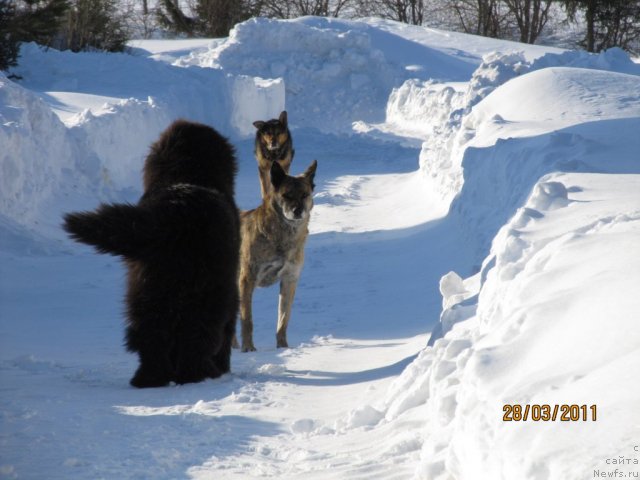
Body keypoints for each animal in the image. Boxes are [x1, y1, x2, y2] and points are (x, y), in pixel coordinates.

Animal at [63, 120, 240, 390]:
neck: (186, 176)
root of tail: (177, 210)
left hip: (144, 290)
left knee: (149, 337)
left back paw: (148, 379)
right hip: (208, 293)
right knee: (199, 337)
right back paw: (202, 374)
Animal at [238, 159, 318, 350]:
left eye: (304, 194)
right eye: (286, 195)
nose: (298, 211)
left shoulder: (290, 279)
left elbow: (283, 319)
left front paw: (283, 346)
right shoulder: (247, 280)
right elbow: (247, 320)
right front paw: (248, 348)